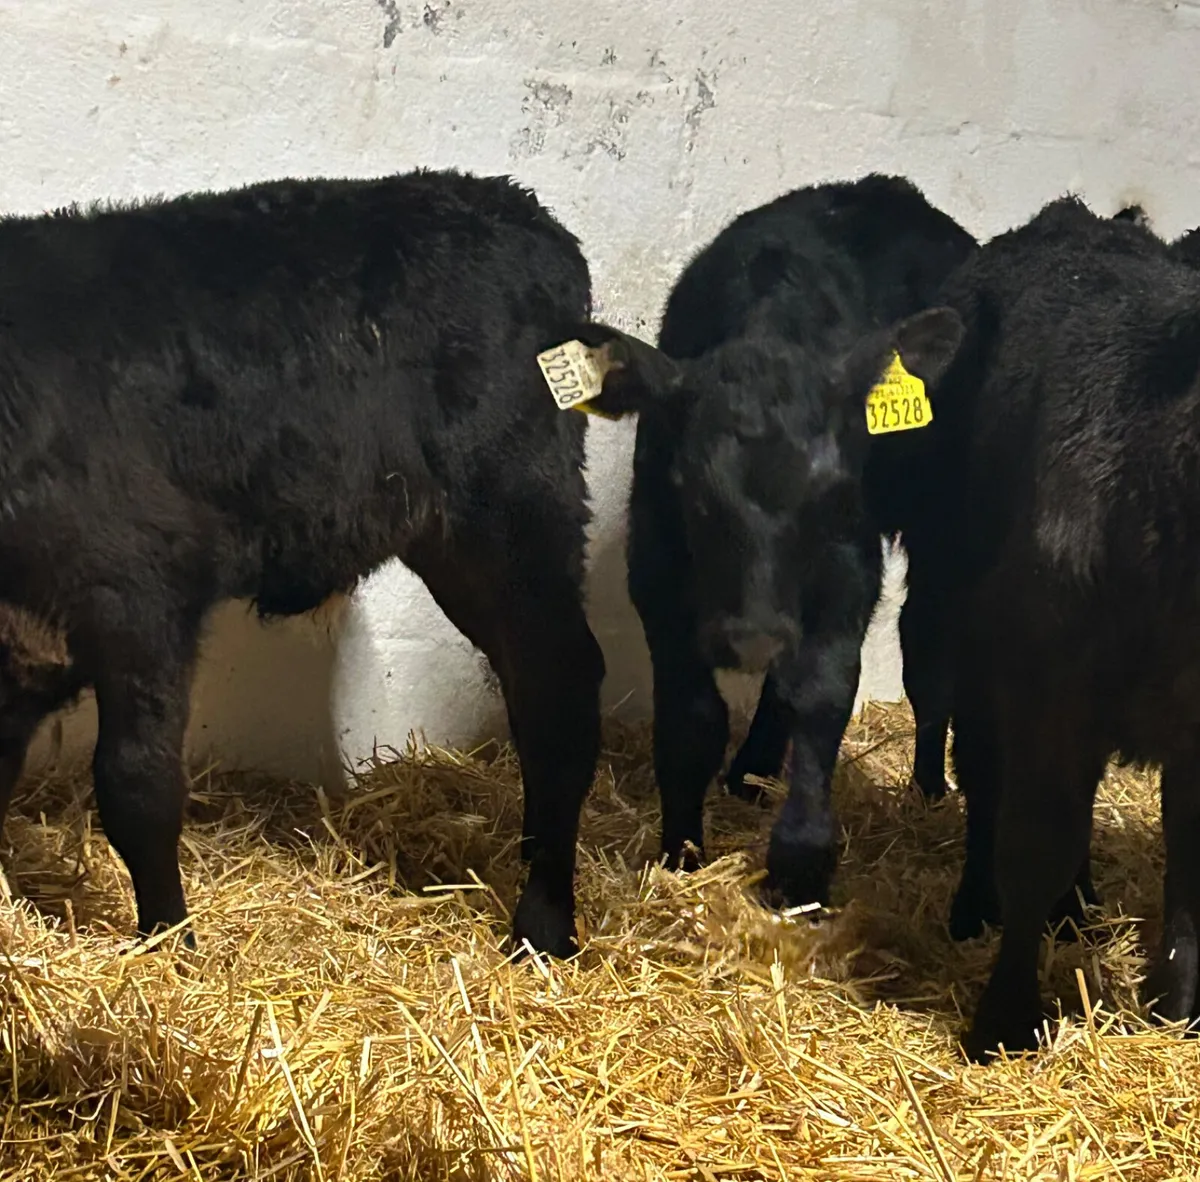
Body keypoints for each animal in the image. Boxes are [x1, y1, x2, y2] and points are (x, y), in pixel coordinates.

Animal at [0, 169, 605, 960]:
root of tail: (524, 212)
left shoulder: (141, 592)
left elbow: (138, 784)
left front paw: (170, 942)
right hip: (457, 546)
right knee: (527, 680)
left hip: (517, 510)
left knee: (561, 682)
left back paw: (543, 924)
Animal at [541, 174, 977, 909]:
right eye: (688, 487)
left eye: (833, 490)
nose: (753, 638)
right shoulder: (657, 568)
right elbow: (692, 719)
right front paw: (682, 852)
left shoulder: (848, 570)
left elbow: (824, 696)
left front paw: (801, 865)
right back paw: (752, 769)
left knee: (929, 656)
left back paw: (926, 788)